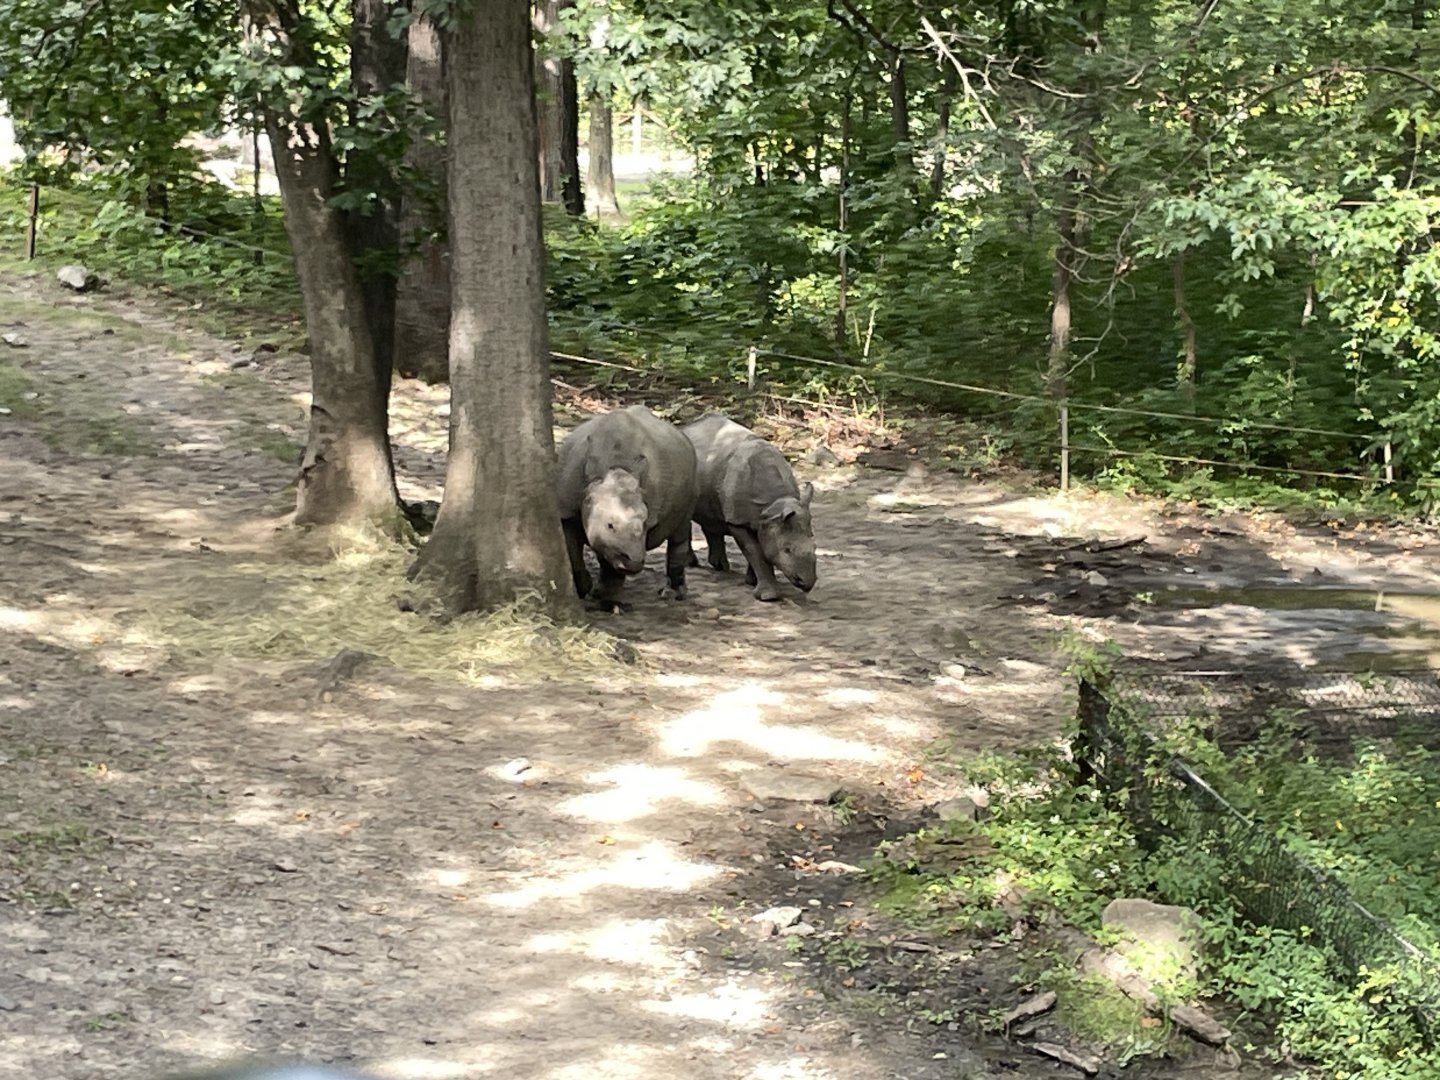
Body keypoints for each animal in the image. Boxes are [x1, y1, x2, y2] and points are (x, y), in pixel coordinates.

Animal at [556, 405, 699, 606]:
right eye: (610, 525)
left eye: (647, 525)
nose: (635, 563)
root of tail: (683, 435)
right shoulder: (566, 508)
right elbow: (573, 551)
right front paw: (585, 589)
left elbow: (608, 557)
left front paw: (603, 598)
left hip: (693, 470)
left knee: (681, 527)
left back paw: (673, 594)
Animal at [681, 412, 817, 602]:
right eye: (787, 550)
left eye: (815, 546)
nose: (807, 584)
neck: (774, 503)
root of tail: (685, 428)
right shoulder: (738, 521)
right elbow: (754, 551)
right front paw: (768, 597)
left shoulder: (764, 519)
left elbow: (761, 547)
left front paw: (751, 582)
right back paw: (692, 564)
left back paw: (720, 566)